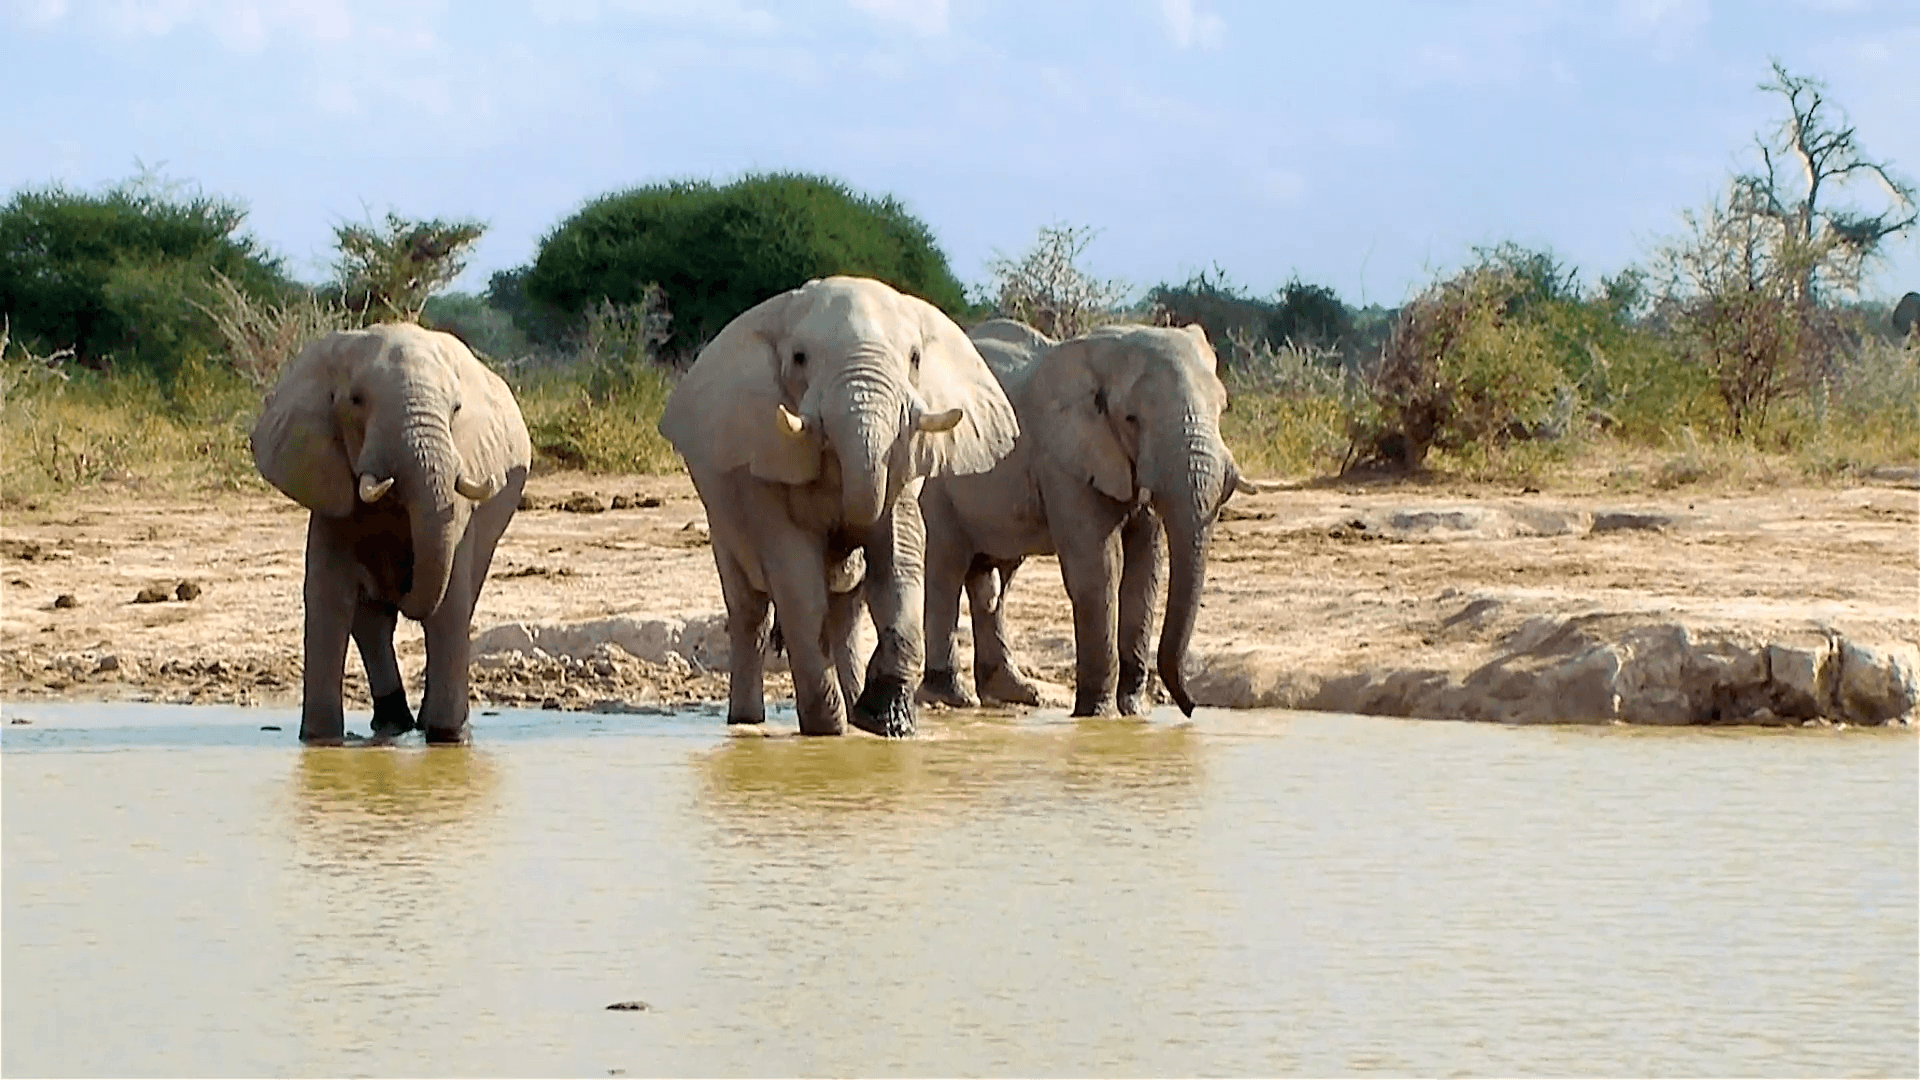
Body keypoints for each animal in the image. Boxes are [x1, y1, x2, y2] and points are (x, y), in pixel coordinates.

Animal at [251, 319, 533, 737]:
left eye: (456, 408)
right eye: (356, 401)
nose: (401, 586)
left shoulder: (458, 498)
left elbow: (449, 601)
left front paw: (448, 738)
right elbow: (328, 598)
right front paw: (320, 741)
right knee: (371, 622)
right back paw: (393, 723)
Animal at [656, 272, 1021, 734]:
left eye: (915, 358)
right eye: (799, 358)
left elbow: (898, 563)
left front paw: (885, 723)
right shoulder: (765, 460)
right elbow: (797, 578)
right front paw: (827, 733)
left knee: (845, 613)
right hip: (719, 511)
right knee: (751, 612)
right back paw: (747, 723)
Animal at [921, 319, 1267, 718]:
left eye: (1222, 408)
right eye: (1132, 419)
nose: (1190, 709)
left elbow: (1144, 570)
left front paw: (1134, 713)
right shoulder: (1064, 457)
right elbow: (1099, 569)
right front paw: (1096, 715)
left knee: (994, 578)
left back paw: (1015, 693)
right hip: (935, 474)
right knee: (946, 566)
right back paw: (951, 696)